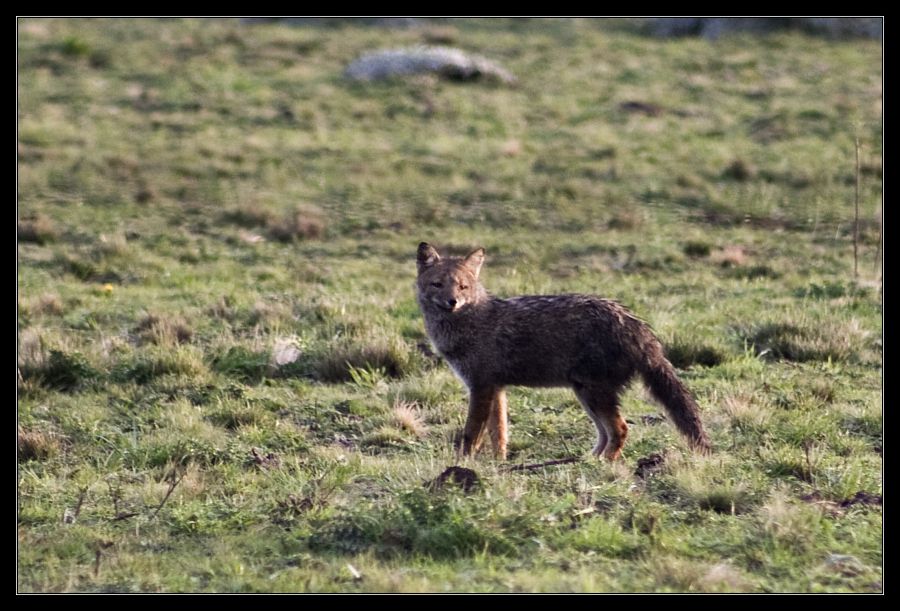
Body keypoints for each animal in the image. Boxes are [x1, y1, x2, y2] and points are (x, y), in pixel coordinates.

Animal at [414, 241, 712, 462]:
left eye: (462, 287)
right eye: (437, 284)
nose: (452, 301)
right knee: (606, 433)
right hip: (585, 394)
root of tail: (634, 323)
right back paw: (588, 460)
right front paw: (499, 464)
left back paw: (603, 465)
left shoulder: (481, 387)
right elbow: (499, 434)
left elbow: (470, 434)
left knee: (620, 429)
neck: (471, 322)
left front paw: (462, 462)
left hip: (593, 394)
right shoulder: (496, 389)